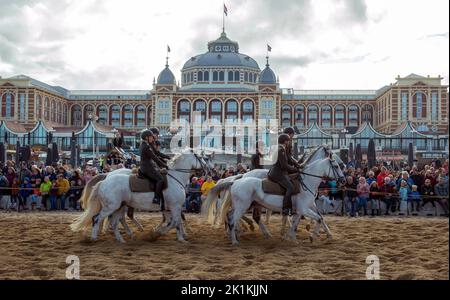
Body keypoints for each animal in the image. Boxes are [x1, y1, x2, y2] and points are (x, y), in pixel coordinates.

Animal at [70, 149, 209, 243]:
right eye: (201, 157)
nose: (208, 169)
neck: (175, 178)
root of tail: (104, 180)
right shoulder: (175, 206)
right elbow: (175, 222)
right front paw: (157, 234)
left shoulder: (170, 208)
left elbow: (175, 221)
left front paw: (180, 237)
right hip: (111, 207)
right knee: (97, 218)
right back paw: (94, 238)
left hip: (119, 207)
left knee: (114, 221)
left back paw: (122, 239)